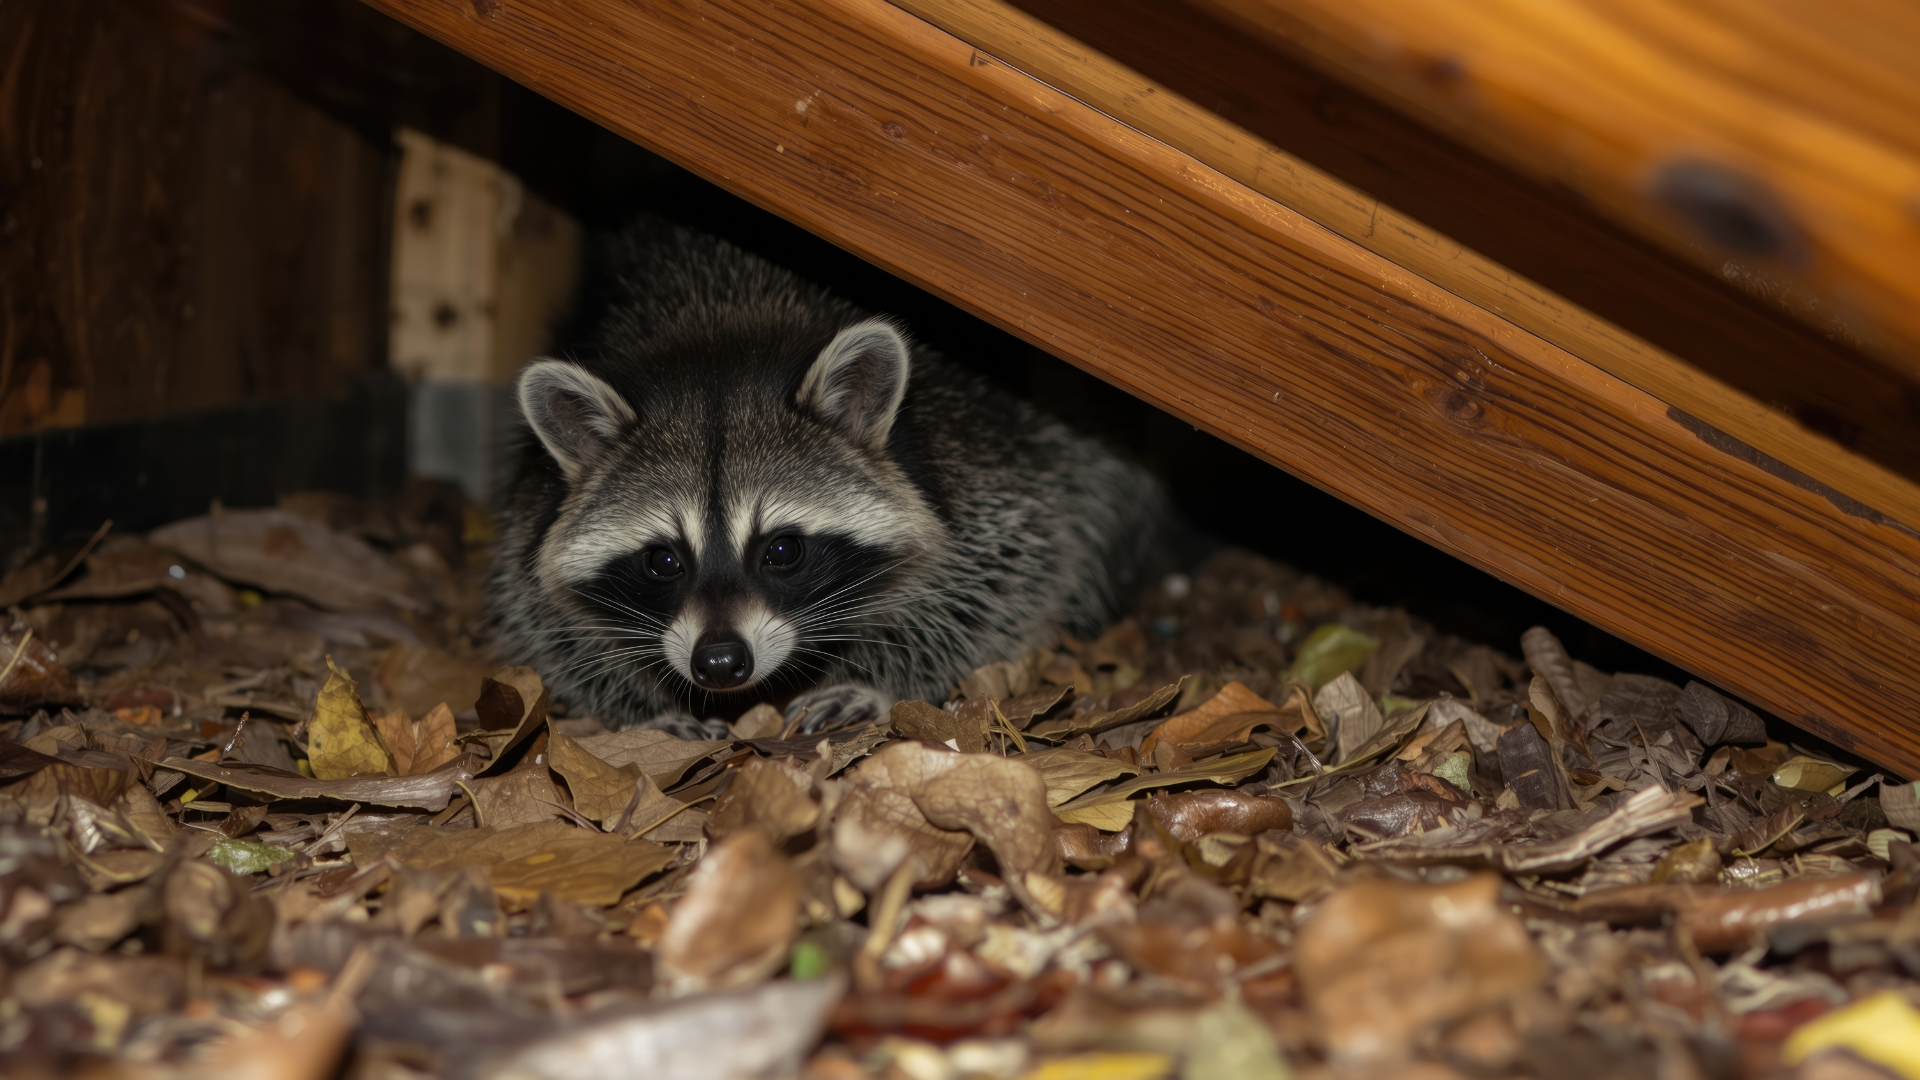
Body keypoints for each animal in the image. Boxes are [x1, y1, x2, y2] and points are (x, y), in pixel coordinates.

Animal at [487, 219, 1173, 738]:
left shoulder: (980, 458)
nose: (719, 662)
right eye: (663, 560)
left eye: (783, 550)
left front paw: (875, 679)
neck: (722, 329)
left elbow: (1001, 577)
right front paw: (645, 707)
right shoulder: (534, 503)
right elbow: (545, 611)